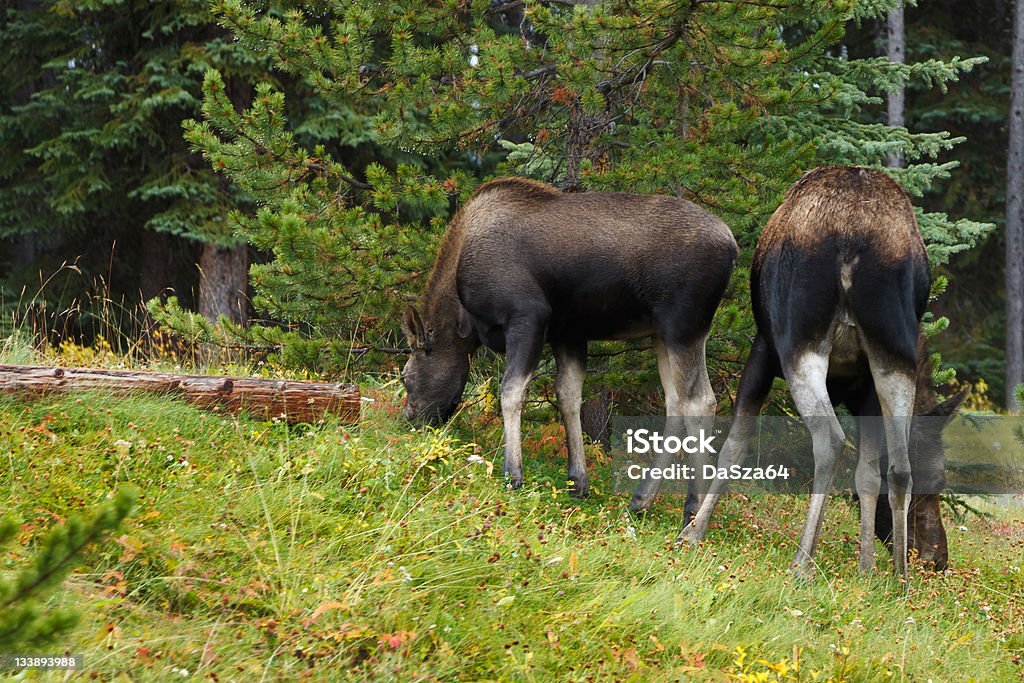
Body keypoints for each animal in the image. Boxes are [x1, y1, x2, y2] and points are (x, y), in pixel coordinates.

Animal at [397, 176, 737, 507]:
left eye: (406, 376)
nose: (410, 420)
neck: (465, 319)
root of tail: (732, 244)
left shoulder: (528, 316)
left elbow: (511, 391)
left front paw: (513, 473)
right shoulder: (569, 333)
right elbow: (568, 396)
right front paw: (578, 480)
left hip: (683, 327)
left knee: (700, 401)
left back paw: (692, 510)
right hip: (663, 334)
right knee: (676, 402)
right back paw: (642, 499)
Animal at [675, 165, 962, 577]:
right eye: (939, 480)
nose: (936, 559)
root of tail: (857, 235)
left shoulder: (763, 349)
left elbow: (734, 444)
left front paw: (694, 531)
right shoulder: (865, 391)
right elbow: (868, 474)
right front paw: (866, 567)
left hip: (798, 340)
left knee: (830, 439)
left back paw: (802, 562)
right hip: (892, 350)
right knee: (898, 463)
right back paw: (899, 579)